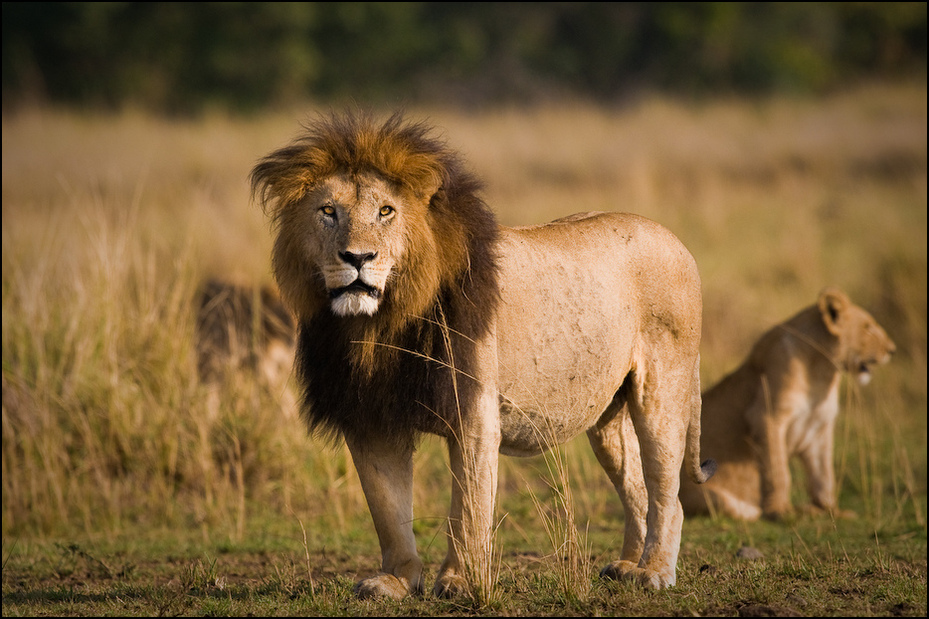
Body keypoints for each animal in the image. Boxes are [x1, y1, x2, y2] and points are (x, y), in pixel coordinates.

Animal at [246, 111, 712, 600]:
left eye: (386, 211)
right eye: (328, 212)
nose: (358, 257)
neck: (375, 327)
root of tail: (676, 239)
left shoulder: (473, 409)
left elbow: (468, 507)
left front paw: (459, 581)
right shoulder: (370, 415)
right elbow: (387, 508)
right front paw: (396, 580)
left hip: (663, 390)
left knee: (668, 493)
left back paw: (653, 572)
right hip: (608, 416)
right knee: (637, 488)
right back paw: (625, 566)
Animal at [676, 288, 896, 520]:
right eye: (868, 327)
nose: (892, 350)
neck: (822, 374)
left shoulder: (819, 428)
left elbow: (824, 475)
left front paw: (832, 511)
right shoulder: (766, 417)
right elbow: (778, 470)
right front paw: (780, 511)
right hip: (711, 496)